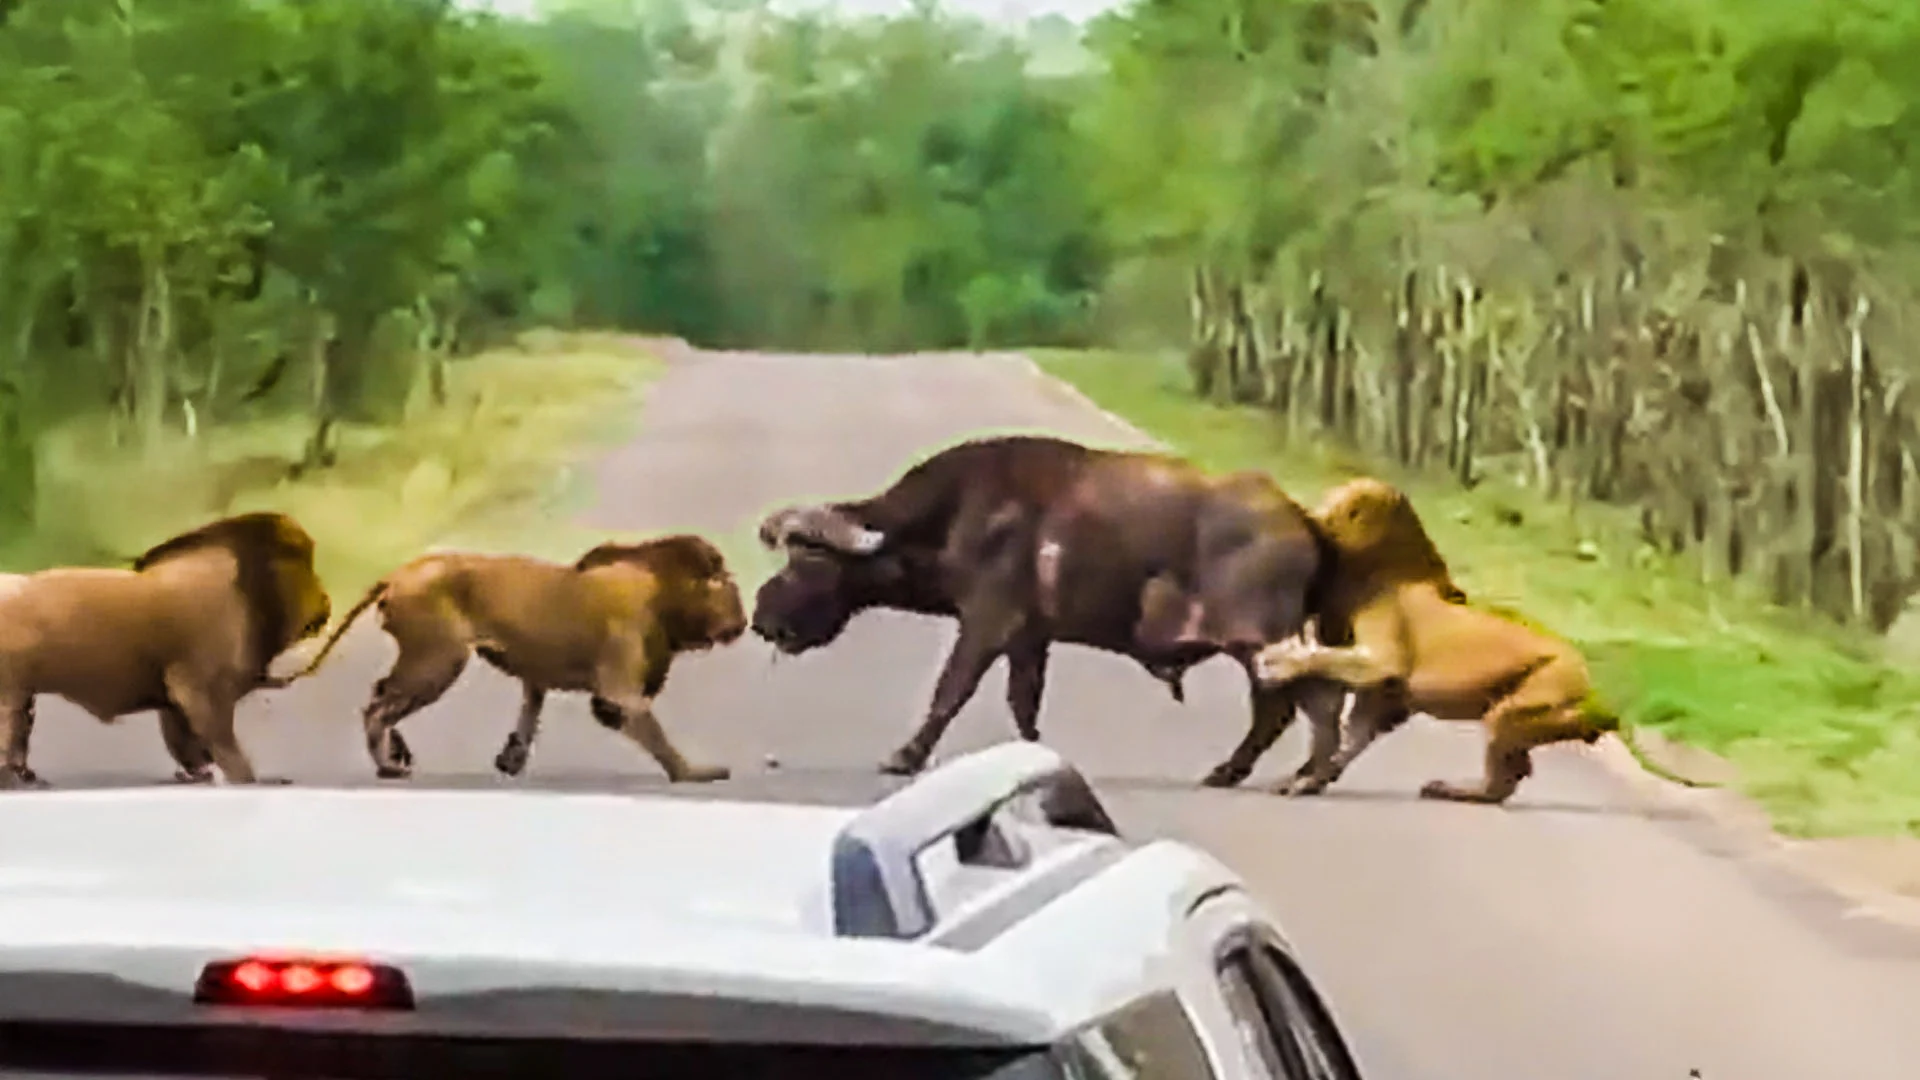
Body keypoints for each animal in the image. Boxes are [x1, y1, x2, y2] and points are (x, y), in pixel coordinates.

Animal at [0, 511, 333, 788]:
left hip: (23, 699)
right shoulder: (201, 692)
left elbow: (190, 746)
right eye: (303, 563)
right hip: (12, 697)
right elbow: (226, 749)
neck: (243, 584)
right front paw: (248, 780)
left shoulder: (177, 704)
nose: (326, 602)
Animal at [272, 533, 748, 782]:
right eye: (729, 587)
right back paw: (390, 765)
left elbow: (528, 716)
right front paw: (696, 772)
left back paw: (397, 753)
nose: (743, 623)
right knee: (377, 705)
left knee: (381, 695)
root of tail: (399, 573)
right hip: (439, 658)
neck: (663, 591)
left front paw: (510, 759)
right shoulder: (620, 689)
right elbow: (656, 734)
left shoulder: (538, 676)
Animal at [751, 433, 1347, 780]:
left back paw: (1290, 773)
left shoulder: (988, 622)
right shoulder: (1029, 637)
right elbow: (1024, 701)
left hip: (1261, 641)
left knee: (1295, 703)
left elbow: (951, 690)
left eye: (809, 561)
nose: (762, 616)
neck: (961, 511)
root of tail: (1300, 518)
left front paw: (904, 756)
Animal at [1251, 476, 1712, 804]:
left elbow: (1324, 659)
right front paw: (1309, 779)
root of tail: (1600, 698)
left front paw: (1278, 662)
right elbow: (1351, 739)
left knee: (1504, 781)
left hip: (1515, 708)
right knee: (1514, 773)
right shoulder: (1384, 696)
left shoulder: (1384, 661)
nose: (1302, 508)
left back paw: (1451, 789)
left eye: (1338, 501)